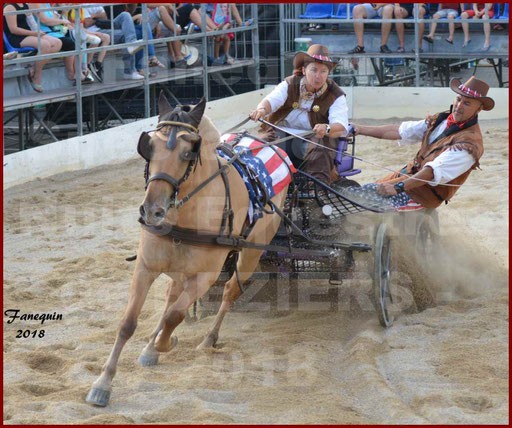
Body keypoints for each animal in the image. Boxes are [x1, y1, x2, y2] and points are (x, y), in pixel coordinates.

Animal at [86, 92, 290, 406]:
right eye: (150, 146)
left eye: (187, 152)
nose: (152, 211)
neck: (186, 212)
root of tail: (273, 148)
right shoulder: (145, 267)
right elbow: (128, 322)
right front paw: (103, 382)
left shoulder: (204, 277)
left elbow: (175, 316)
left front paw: (165, 343)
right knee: (172, 293)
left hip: (251, 253)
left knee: (229, 291)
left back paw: (207, 339)